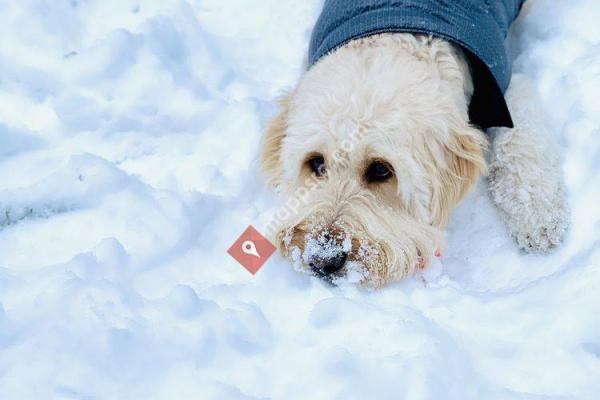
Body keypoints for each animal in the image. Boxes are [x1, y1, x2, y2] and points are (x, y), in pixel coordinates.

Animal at [260, 0, 568, 288]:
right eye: (316, 163)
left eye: (381, 170)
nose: (323, 258)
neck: (403, 33)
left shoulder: (503, 93)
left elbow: (521, 141)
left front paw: (537, 215)